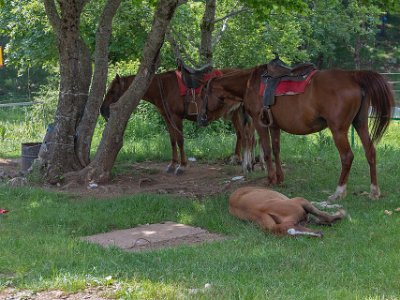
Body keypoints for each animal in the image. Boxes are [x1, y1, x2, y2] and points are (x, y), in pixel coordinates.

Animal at [100, 70, 252, 173]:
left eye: (112, 91)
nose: (102, 110)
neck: (164, 88)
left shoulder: (176, 117)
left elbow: (180, 140)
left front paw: (182, 166)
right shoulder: (168, 118)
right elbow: (172, 140)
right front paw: (172, 164)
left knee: (245, 135)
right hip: (235, 113)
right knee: (241, 135)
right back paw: (238, 159)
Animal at [200, 66, 394, 202]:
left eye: (203, 95)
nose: (201, 118)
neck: (250, 83)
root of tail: (353, 76)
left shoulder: (259, 123)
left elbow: (267, 151)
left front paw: (270, 179)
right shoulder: (274, 126)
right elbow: (276, 150)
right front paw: (280, 178)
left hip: (338, 129)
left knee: (347, 156)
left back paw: (339, 192)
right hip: (360, 124)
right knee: (370, 152)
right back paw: (374, 191)